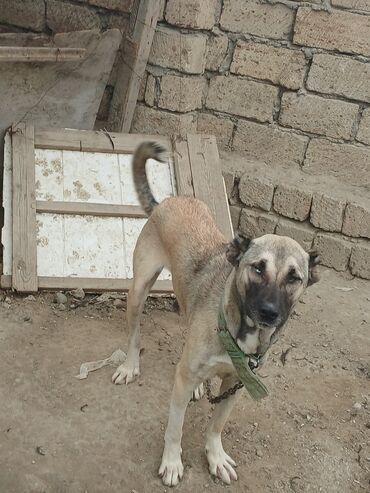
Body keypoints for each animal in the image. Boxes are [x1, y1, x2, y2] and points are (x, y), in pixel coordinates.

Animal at [111, 141, 320, 484]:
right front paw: (172, 462)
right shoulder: (183, 383)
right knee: (134, 335)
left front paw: (216, 456)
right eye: (258, 268)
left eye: (294, 278)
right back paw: (130, 366)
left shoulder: (237, 385)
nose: (269, 312)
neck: (237, 333)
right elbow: (175, 428)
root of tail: (166, 202)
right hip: (138, 289)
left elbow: (216, 426)